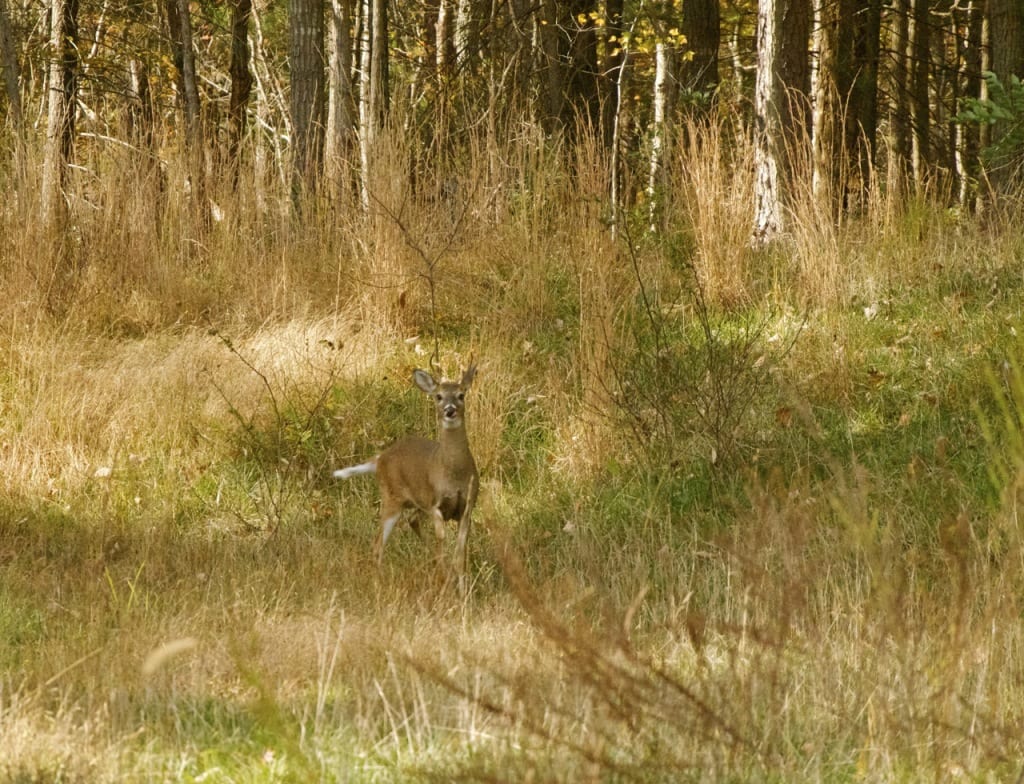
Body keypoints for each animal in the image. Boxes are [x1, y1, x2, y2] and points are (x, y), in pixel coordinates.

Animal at [333, 364, 481, 585]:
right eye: (438, 396)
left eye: (461, 395)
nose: (450, 410)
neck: (453, 474)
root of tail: (380, 458)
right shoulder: (434, 503)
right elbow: (441, 540)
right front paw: (445, 580)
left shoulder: (467, 506)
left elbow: (460, 555)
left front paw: (461, 587)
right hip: (391, 498)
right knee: (377, 545)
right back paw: (380, 583)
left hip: (413, 503)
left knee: (410, 521)